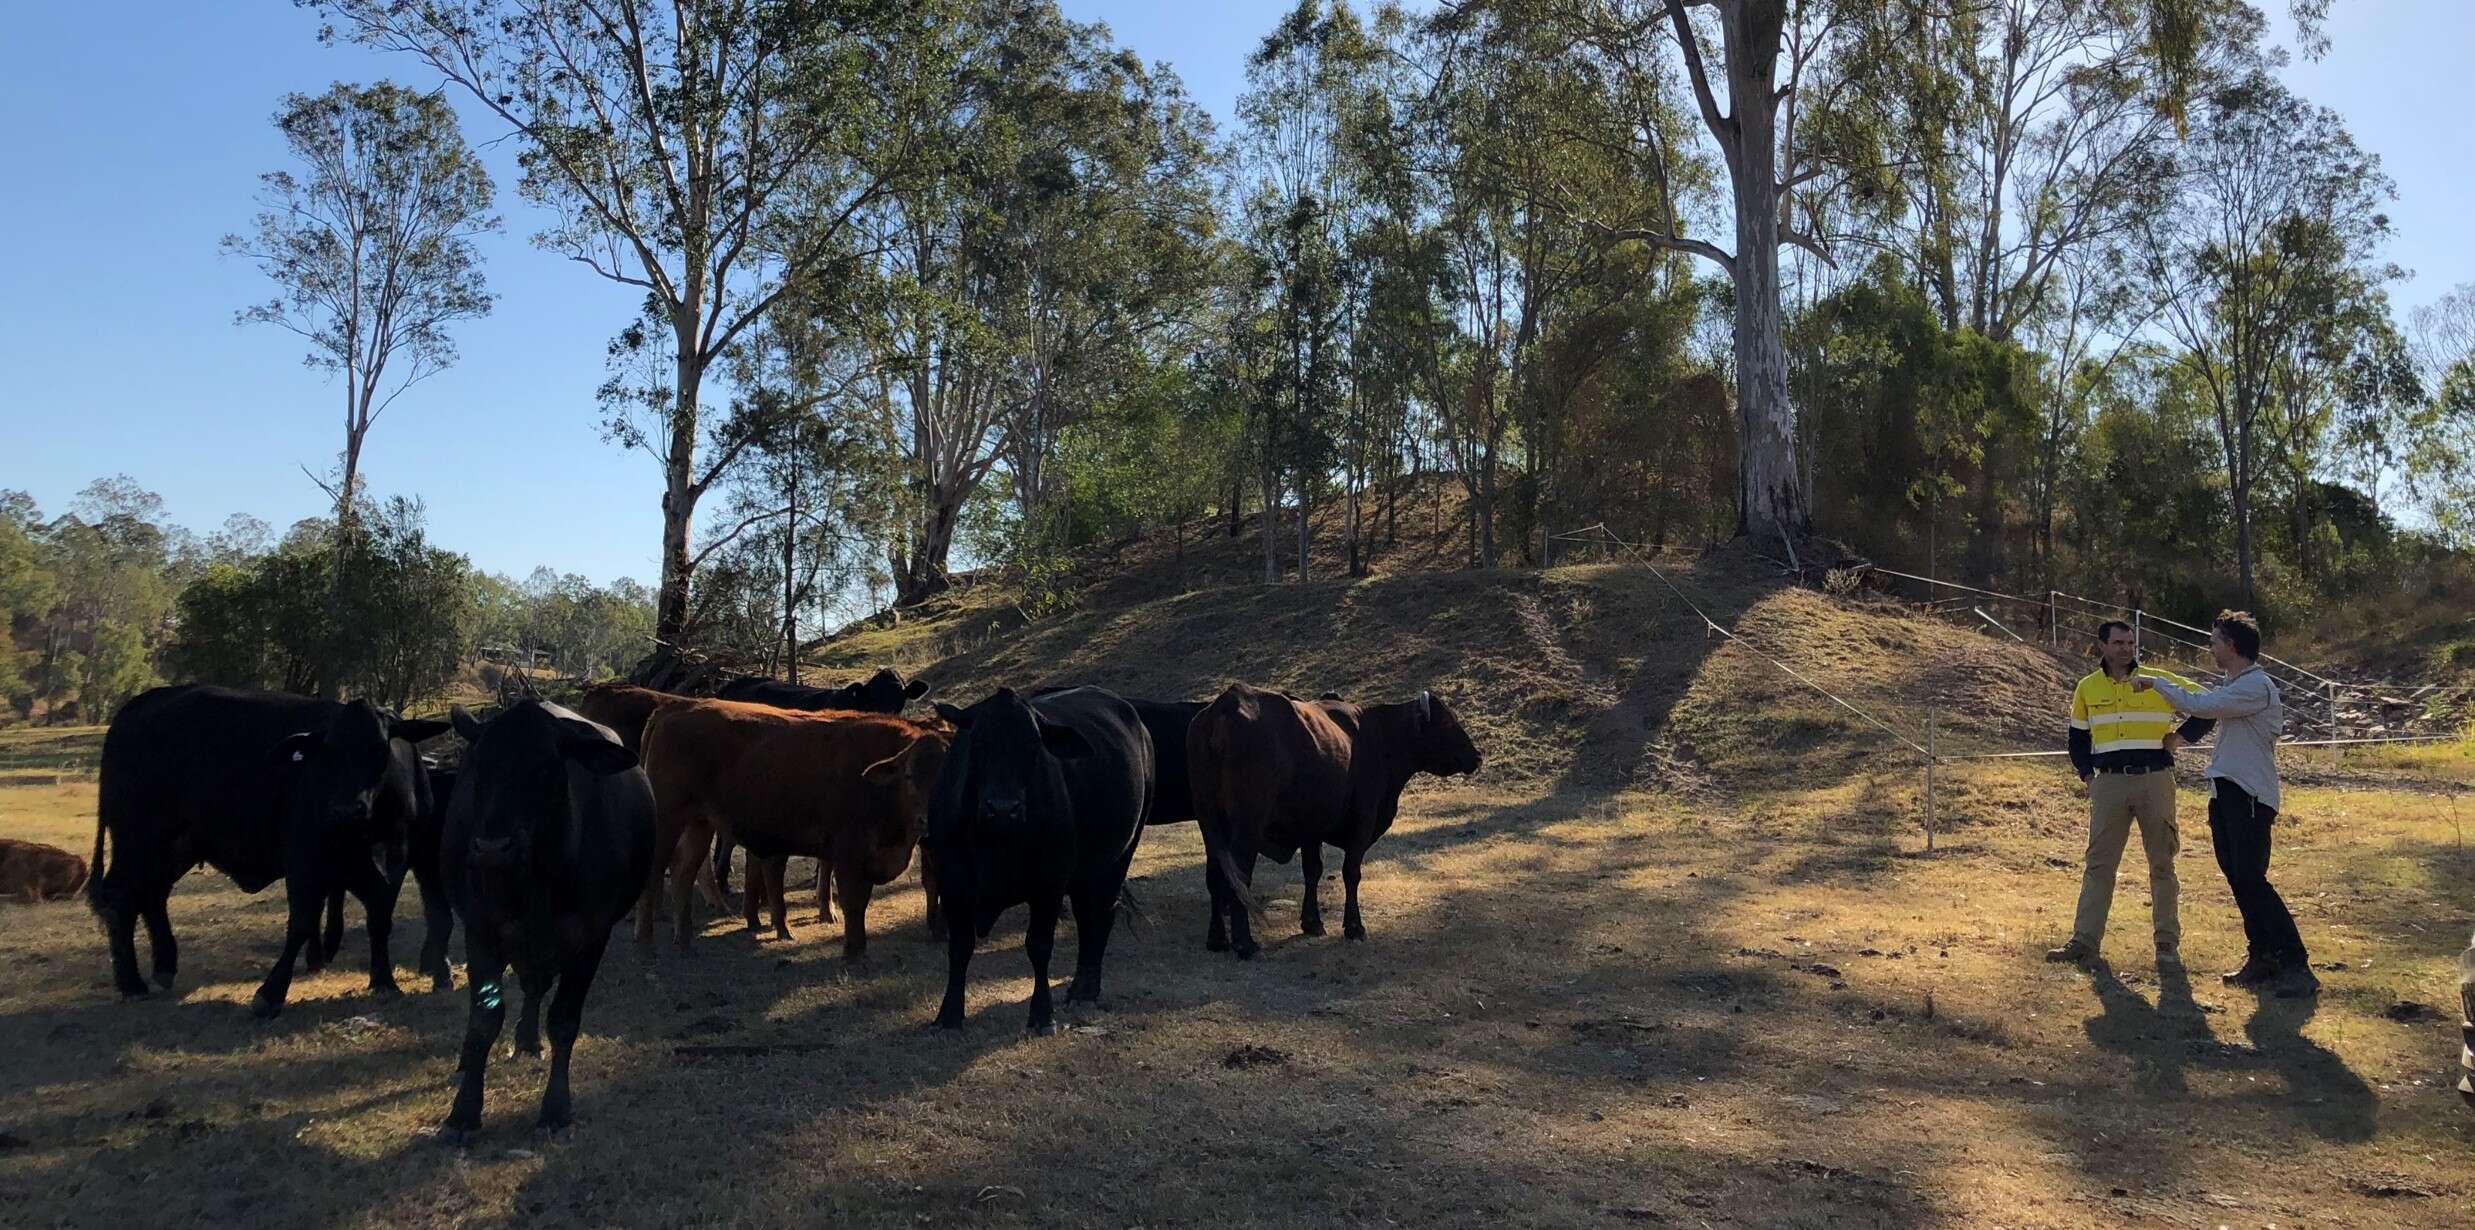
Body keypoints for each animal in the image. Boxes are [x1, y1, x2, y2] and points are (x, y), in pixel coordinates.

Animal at [87, 684, 446, 1014]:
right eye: (326, 754)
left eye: (379, 751)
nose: (346, 809)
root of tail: (141, 702)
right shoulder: (304, 858)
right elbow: (302, 922)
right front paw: (271, 992)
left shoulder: (396, 860)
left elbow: (379, 919)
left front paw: (384, 981)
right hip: (137, 839)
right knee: (122, 897)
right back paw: (132, 983)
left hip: (176, 845)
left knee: (152, 894)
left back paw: (163, 968)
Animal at [438, 700, 652, 1143]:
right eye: (478, 766)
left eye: (547, 769)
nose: (491, 848)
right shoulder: (481, 929)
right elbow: (484, 1019)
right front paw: (463, 1112)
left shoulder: (591, 937)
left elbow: (564, 1020)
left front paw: (556, 1107)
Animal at [635, 700, 947, 960]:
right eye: (909, 775)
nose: (927, 820)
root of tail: (673, 709)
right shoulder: (849, 855)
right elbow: (853, 903)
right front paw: (853, 952)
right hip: (668, 821)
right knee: (654, 874)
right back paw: (646, 946)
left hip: (700, 824)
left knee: (684, 874)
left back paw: (685, 943)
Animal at [926, 686, 1150, 1034]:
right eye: (977, 743)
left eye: (1033, 746)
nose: (1003, 808)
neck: (995, 843)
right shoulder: (953, 882)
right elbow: (960, 947)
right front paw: (948, 1015)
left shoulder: (1049, 883)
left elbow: (1039, 945)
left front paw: (1042, 1014)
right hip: (1084, 873)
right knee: (1087, 917)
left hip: (1121, 853)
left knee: (1102, 915)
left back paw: (1086, 989)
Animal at [1189, 684, 1482, 959]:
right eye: (1447, 722)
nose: (1477, 756)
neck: (1379, 736)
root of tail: (1225, 704)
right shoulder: (1363, 821)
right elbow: (1351, 873)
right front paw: (1354, 927)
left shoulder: (1310, 828)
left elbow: (1313, 871)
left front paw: (1312, 922)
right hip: (1247, 827)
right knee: (1240, 877)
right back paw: (1245, 943)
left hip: (1210, 826)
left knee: (1215, 875)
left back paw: (1217, 939)